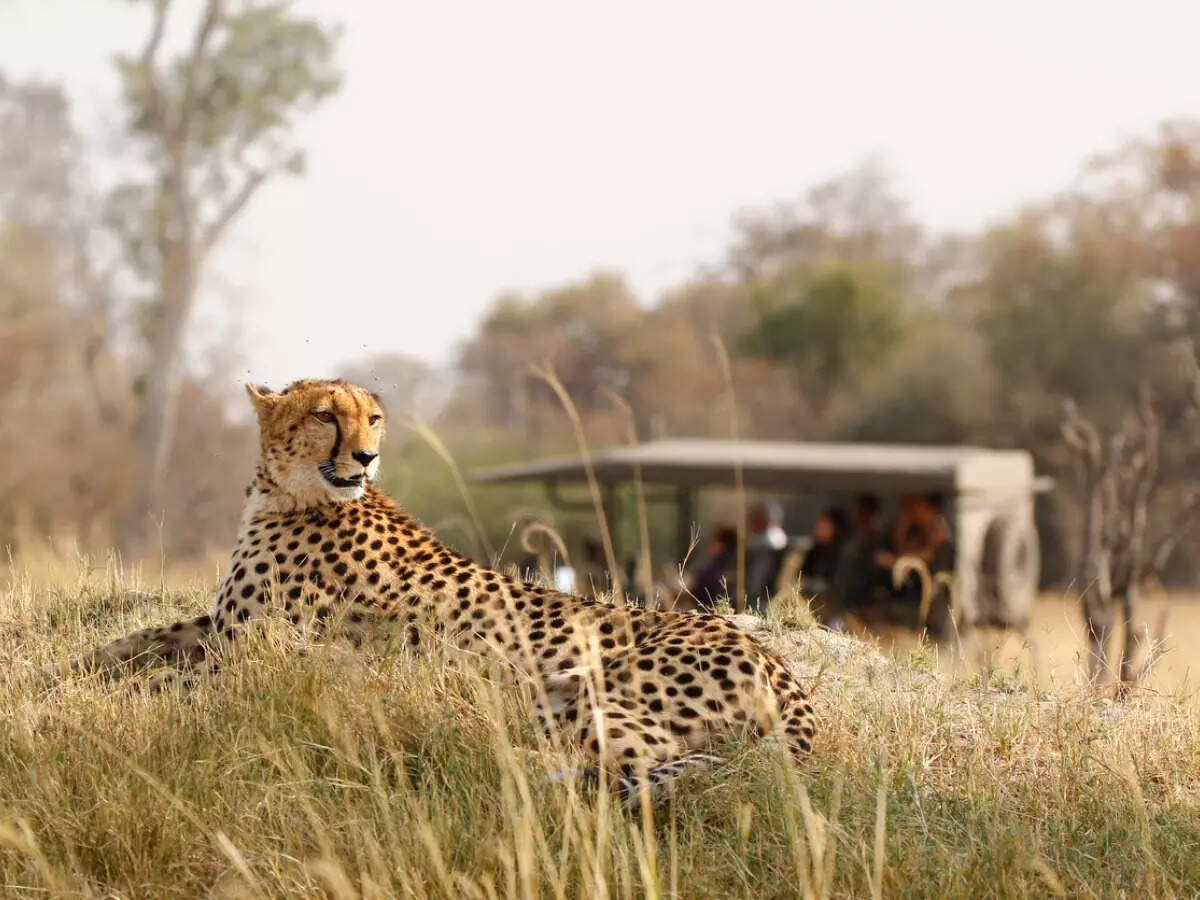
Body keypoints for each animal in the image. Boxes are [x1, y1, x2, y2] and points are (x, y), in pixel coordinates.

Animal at [79, 378, 816, 796]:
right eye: (325, 416)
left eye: (372, 418)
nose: (368, 455)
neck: (290, 491)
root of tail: (774, 659)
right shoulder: (222, 625)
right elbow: (135, 641)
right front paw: (75, 669)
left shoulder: (256, 649)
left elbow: (164, 680)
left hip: (572, 690)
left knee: (655, 760)